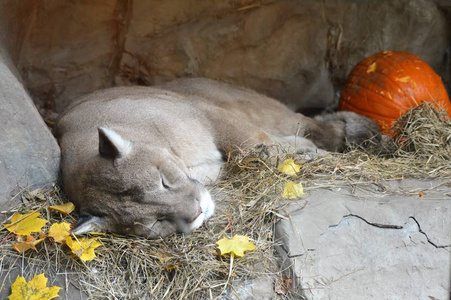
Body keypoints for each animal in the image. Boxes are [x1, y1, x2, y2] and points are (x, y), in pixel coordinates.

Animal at [56, 78, 382, 238]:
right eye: (158, 222)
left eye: (162, 181)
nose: (197, 211)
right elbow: (258, 150)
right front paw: (301, 154)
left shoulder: (207, 113)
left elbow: (251, 144)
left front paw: (302, 155)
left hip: (254, 106)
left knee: (308, 123)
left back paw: (362, 132)